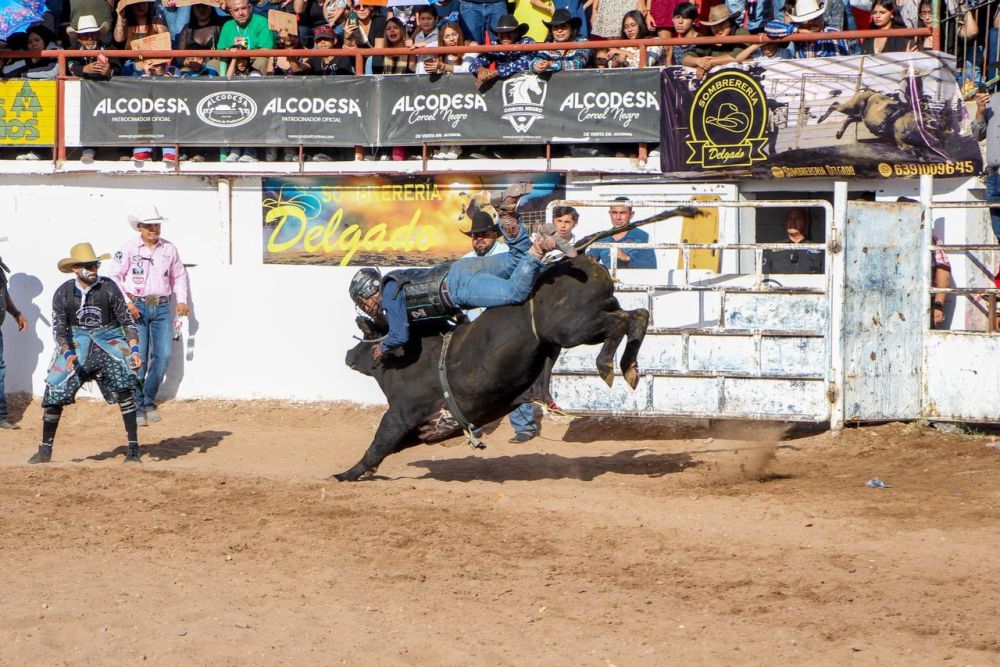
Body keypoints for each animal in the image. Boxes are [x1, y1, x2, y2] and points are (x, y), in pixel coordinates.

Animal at [333, 206, 699, 482]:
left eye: (367, 334)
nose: (348, 354)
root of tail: (575, 256)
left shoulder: (401, 414)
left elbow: (378, 445)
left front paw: (346, 474)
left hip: (572, 328)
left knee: (620, 323)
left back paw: (606, 364)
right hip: (595, 313)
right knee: (636, 315)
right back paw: (628, 366)